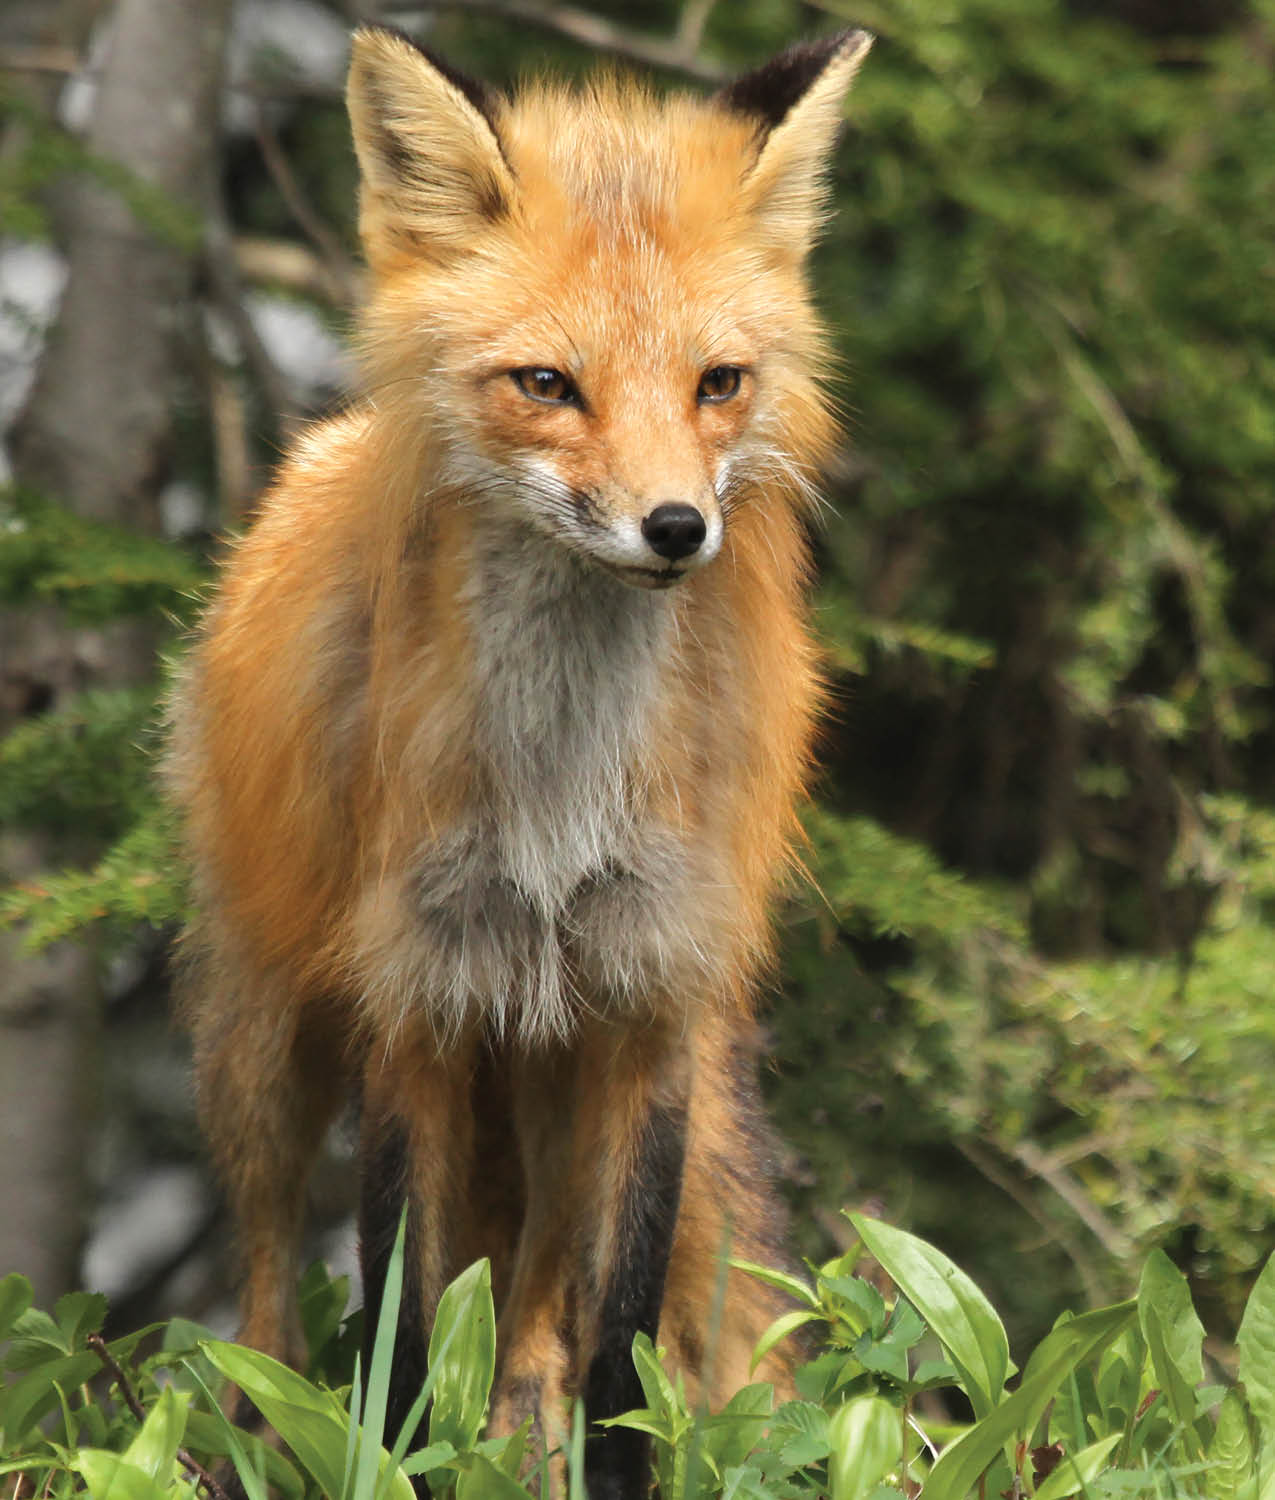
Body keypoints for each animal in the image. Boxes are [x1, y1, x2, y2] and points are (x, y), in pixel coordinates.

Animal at [166, 26, 864, 1500]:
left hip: (564, 1076)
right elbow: (400, 1332)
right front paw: (386, 1460)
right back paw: (245, 1434)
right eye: (548, 385)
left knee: (538, 1323)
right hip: (263, 1044)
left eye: (718, 382)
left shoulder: (653, 997)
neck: (557, 796)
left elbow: (617, 1347)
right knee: (264, 1288)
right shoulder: (416, 992)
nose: (676, 527)